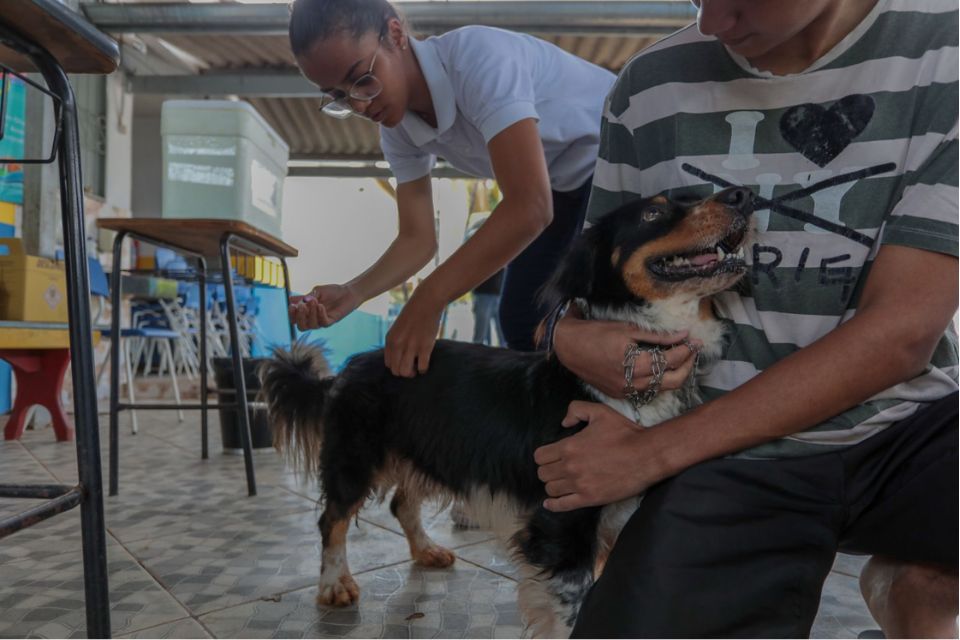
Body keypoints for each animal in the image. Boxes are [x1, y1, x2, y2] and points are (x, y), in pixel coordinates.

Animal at [262, 185, 756, 636]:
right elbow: (571, 614)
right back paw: (334, 585)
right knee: (332, 518)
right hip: (356, 457)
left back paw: (426, 550)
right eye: (653, 212)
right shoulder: (563, 522)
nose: (742, 196)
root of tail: (352, 365)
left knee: (402, 503)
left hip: (431, 449)